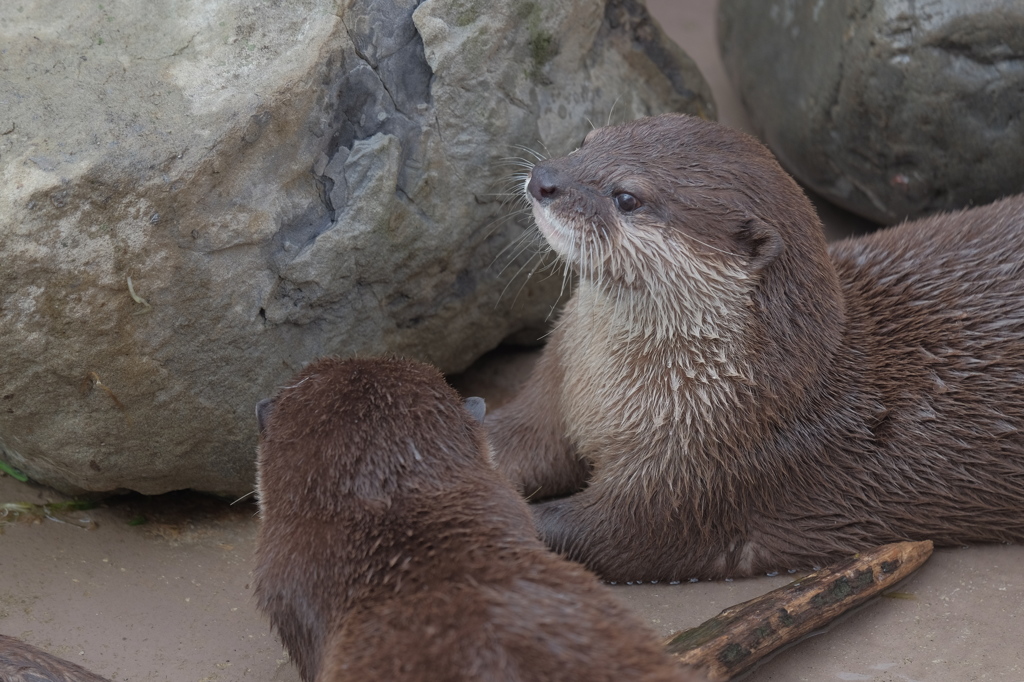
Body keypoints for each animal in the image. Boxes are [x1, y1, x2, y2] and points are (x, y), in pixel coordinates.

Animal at [485, 114, 1024, 581]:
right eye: (586, 140)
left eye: (627, 197)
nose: (544, 178)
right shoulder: (556, 385)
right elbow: (521, 439)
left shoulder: (704, 478)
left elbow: (605, 533)